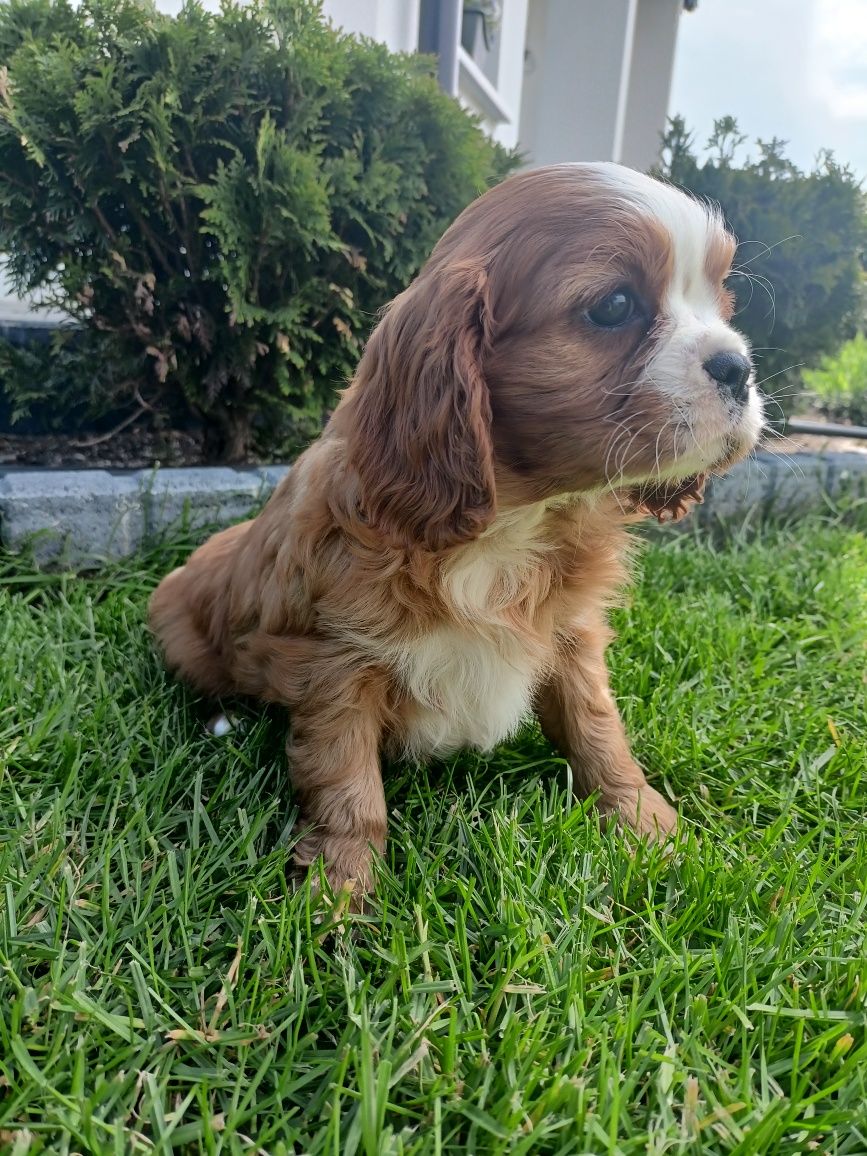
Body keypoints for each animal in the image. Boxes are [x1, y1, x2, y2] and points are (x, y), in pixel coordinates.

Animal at [152, 162, 762, 901]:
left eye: (722, 301)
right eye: (614, 306)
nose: (738, 366)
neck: (512, 522)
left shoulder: (572, 636)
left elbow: (597, 727)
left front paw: (645, 826)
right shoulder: (334, 662)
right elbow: (345, 781)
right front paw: (339, 891)